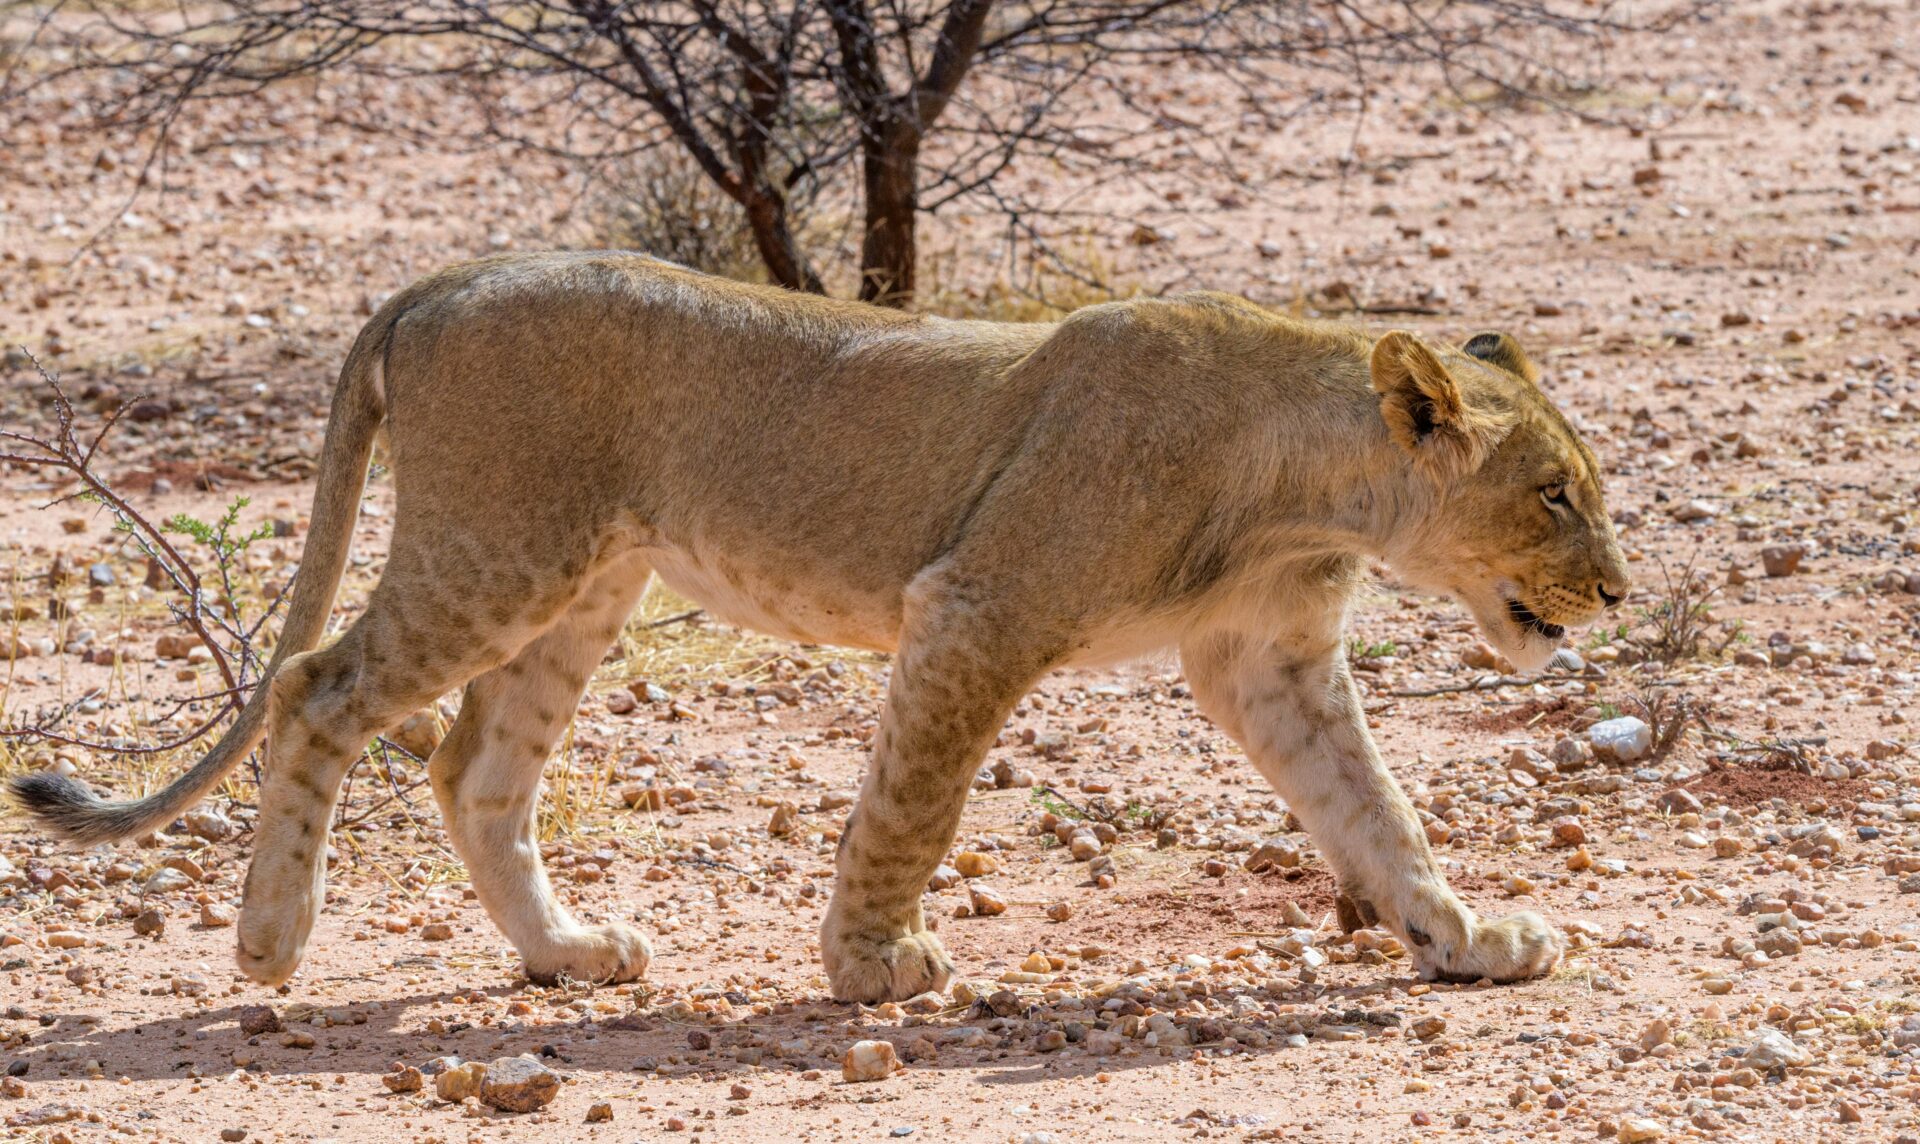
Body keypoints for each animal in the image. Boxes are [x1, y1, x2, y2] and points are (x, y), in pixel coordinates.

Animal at [11, 251, 1629, 1001]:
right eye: (1555, 493)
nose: (1615, 592)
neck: (1306, 489)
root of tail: (445, 276)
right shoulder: (978, 606)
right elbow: (914, 801)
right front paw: (872, 964)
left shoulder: (1269, 660)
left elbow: (1377, 810)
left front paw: (1464, 935)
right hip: (497, 548)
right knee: (316, 686)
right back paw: (271, 943)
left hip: (588, 583)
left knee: (474, 768)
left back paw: (568, 953)